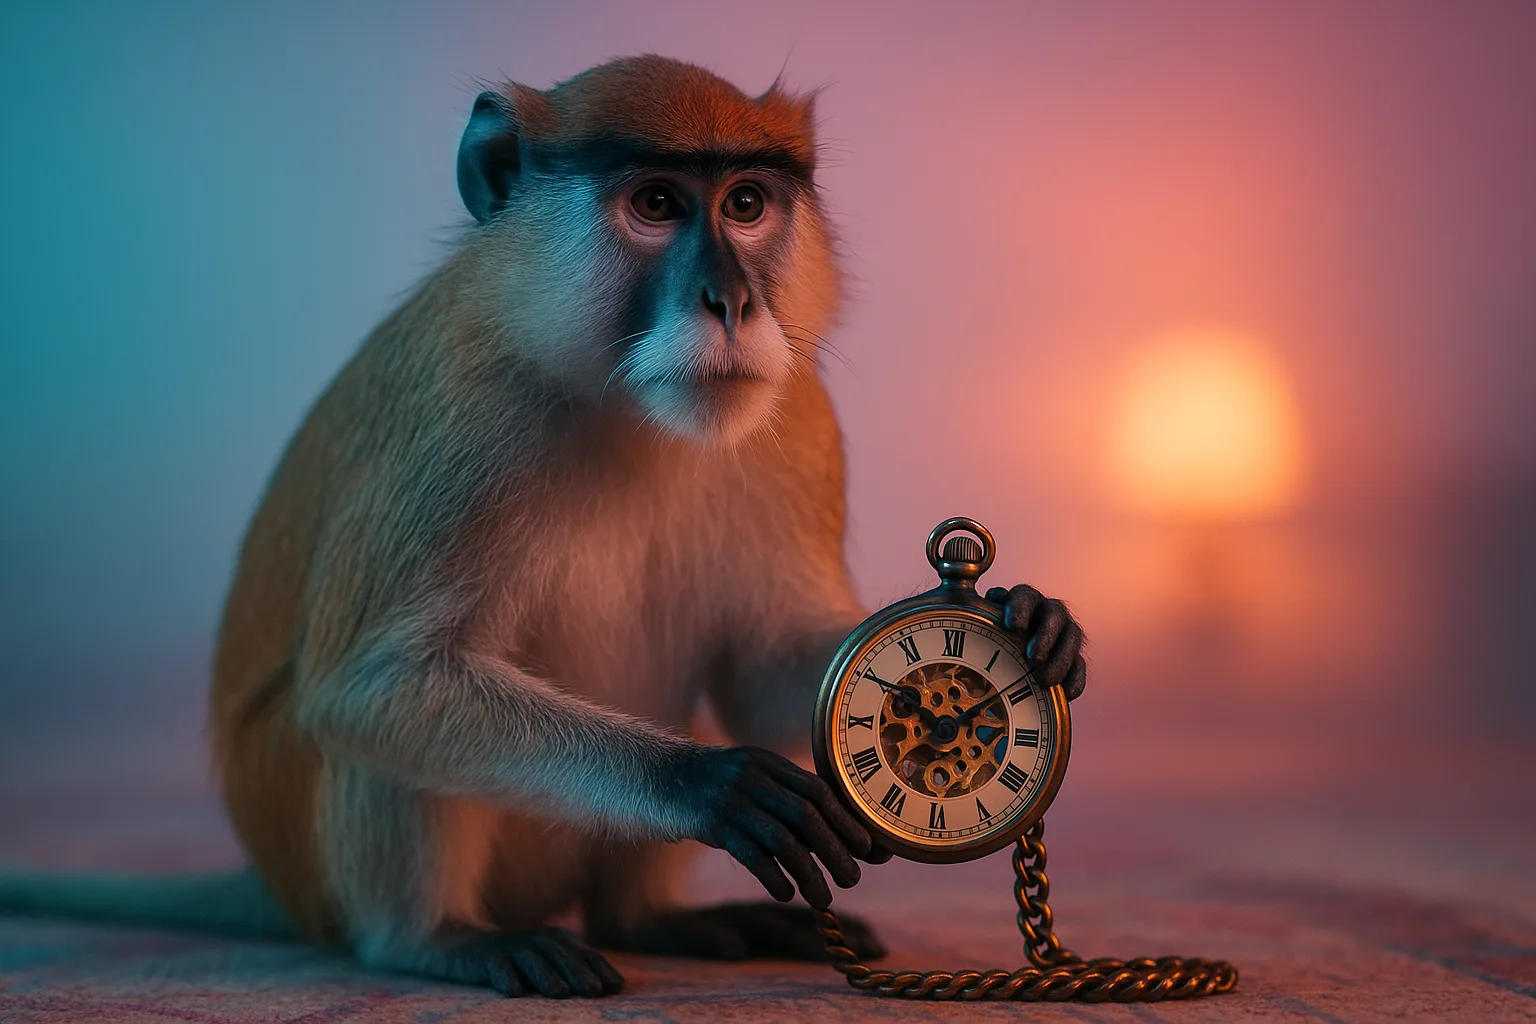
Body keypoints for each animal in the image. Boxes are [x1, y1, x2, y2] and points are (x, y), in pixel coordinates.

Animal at [0, 55, 1089, 998]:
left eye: (745, 203)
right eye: (656, 204)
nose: (731, 300)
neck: (618, 399)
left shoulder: (798, 412)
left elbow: (767, 669)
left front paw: (1032, 620)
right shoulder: (467, 416)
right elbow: (372, 688)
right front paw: (708, 782)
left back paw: (644, 919)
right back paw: (437, 938)